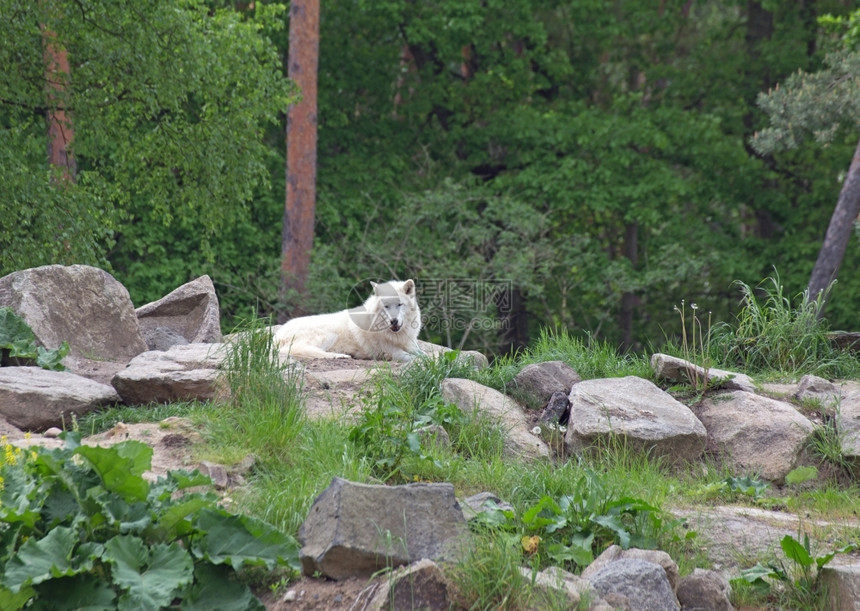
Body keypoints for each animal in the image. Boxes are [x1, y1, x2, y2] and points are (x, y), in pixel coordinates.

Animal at [276, 280, 424, 360]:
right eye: (386, 306)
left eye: (399, 305)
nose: (393, 321)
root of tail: (276, 336)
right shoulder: (392, 351)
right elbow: (415, 357)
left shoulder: (411, 345)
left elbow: (423, 354)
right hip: (329, 335)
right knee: (301, 350)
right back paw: (340, 355)